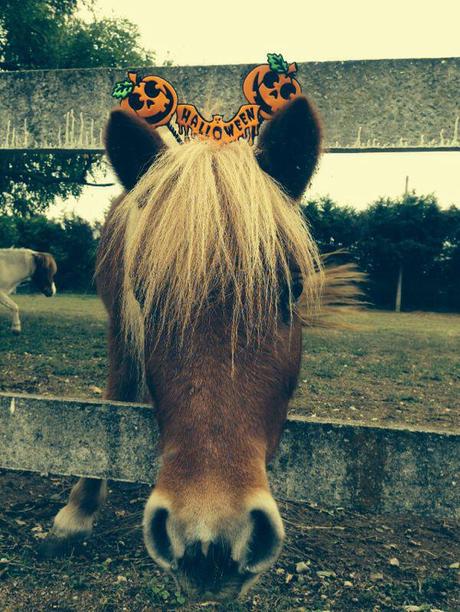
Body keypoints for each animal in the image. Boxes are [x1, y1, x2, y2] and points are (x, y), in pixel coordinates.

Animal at [43, 98, 326, 600]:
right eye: (144, 294)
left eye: (291, 289)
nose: (209, 545)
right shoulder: (121, 328)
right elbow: (111, 404)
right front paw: (78, 512)